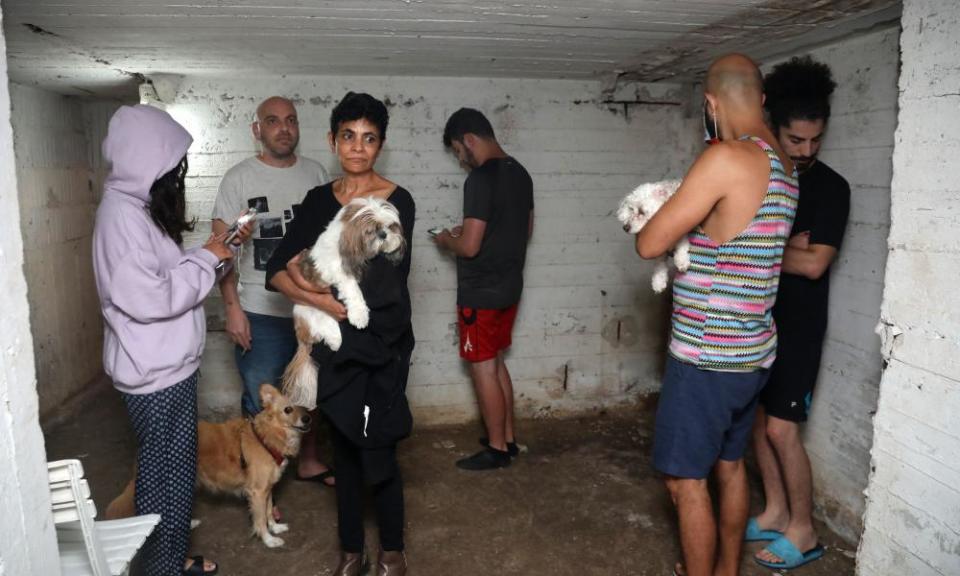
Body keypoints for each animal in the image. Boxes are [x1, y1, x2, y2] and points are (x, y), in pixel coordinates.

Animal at [108, 384, 312, 548]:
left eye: (303, 406)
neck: (266, 437)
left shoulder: (267, 489)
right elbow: (260, 518)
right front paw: (269, 540)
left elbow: (269, 511)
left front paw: (275, 528)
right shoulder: (258, 492)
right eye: (287, 409)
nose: (308, 419)